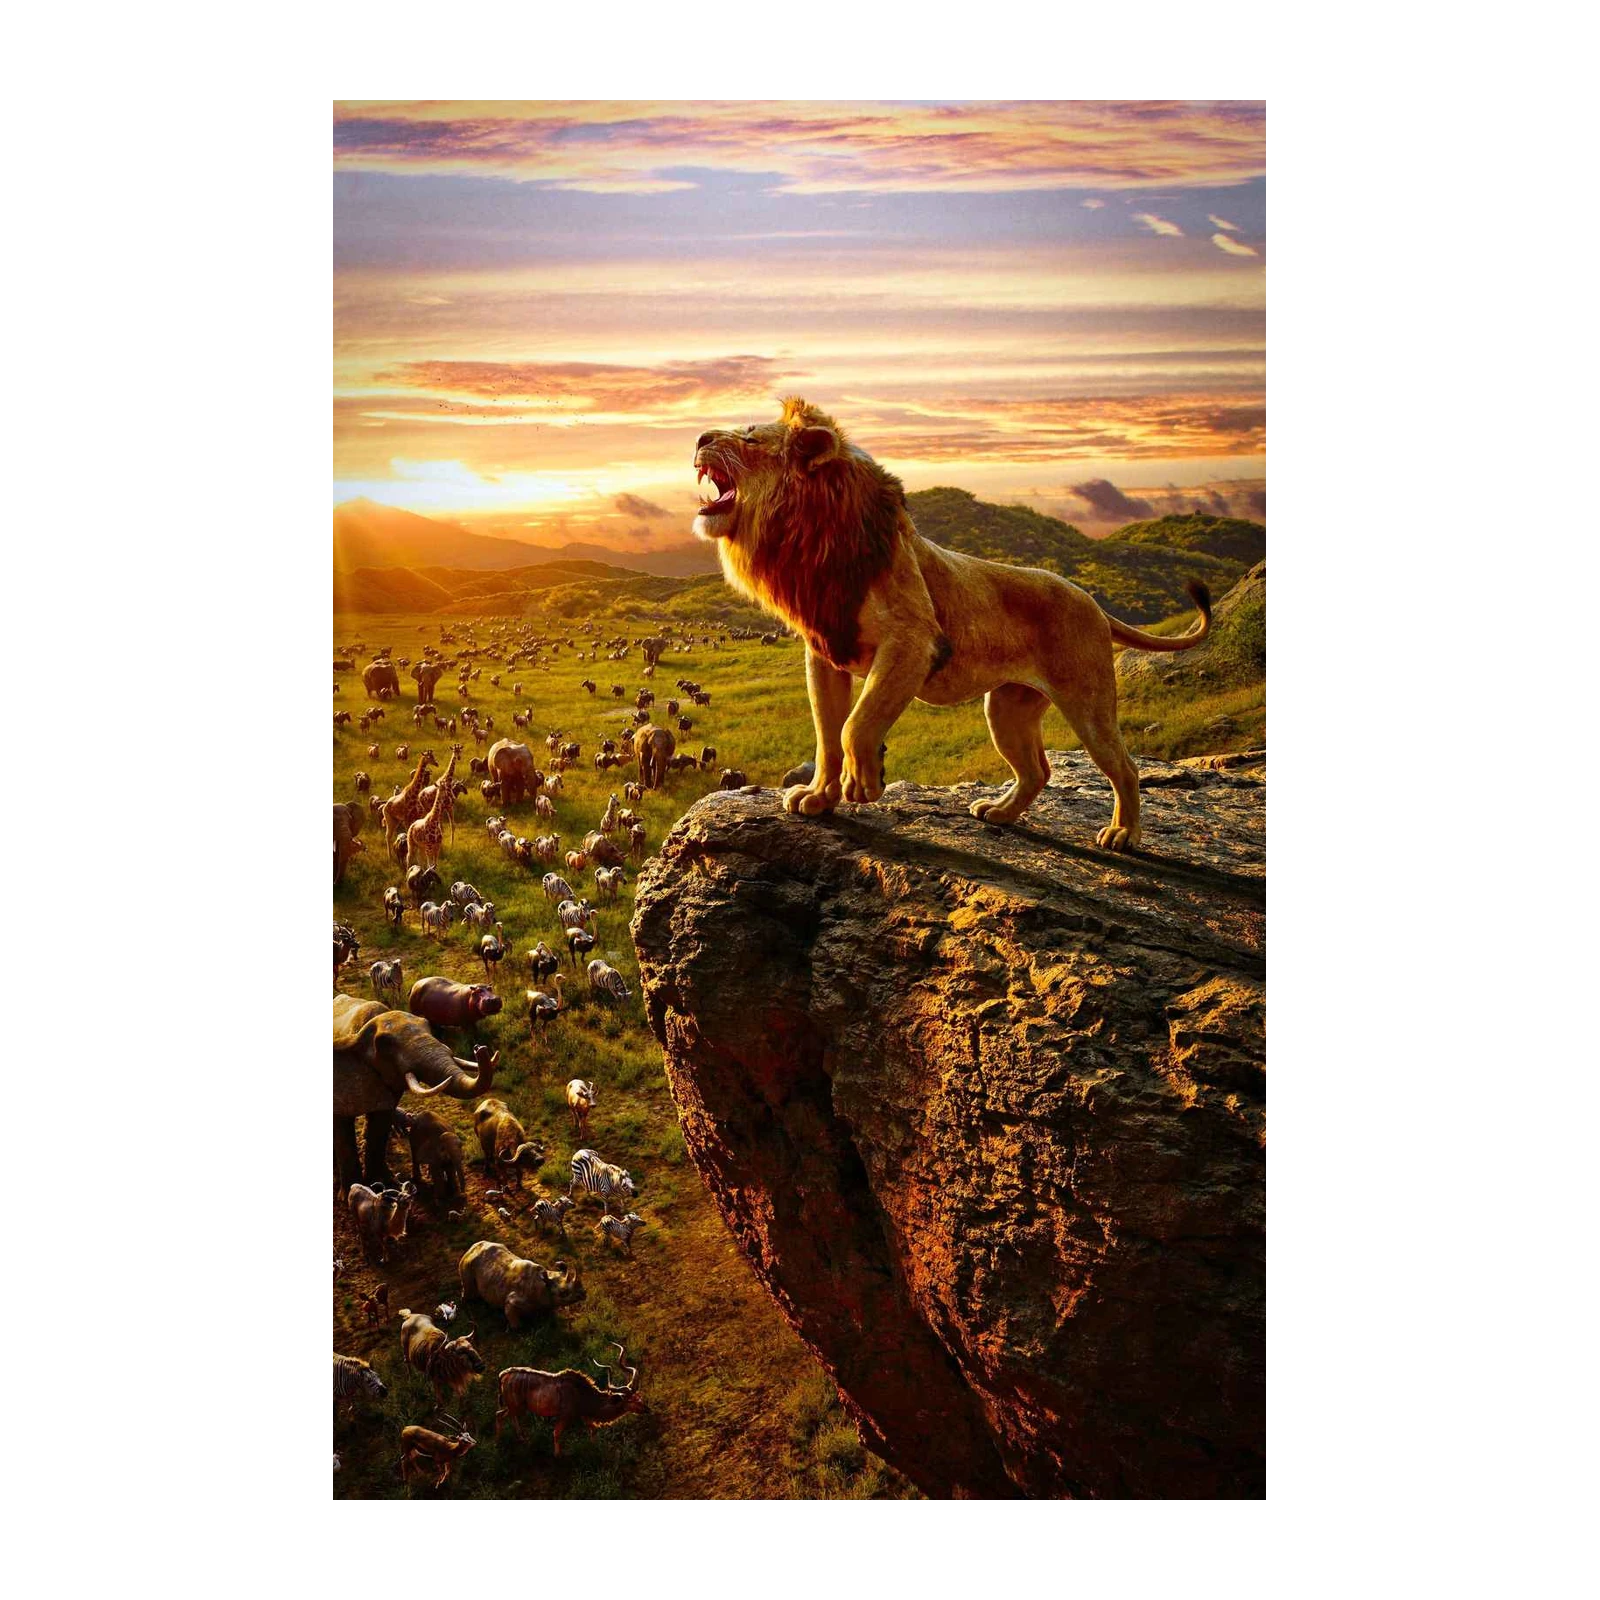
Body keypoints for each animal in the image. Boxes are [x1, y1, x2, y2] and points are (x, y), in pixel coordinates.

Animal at [693, 397, 1213, 852]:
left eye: (750, 438)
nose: (698, 438)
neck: (808, 541)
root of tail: (1092, 601)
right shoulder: (824, 651)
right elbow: (826, 734)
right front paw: (819, 798)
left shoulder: (913, 642)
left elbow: (856, 724)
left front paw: (864, 783)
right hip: (1006, 709)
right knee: (1037, 770)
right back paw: (999, 813)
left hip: (1087, 701)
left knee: (1124, 766)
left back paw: (1123, 834)